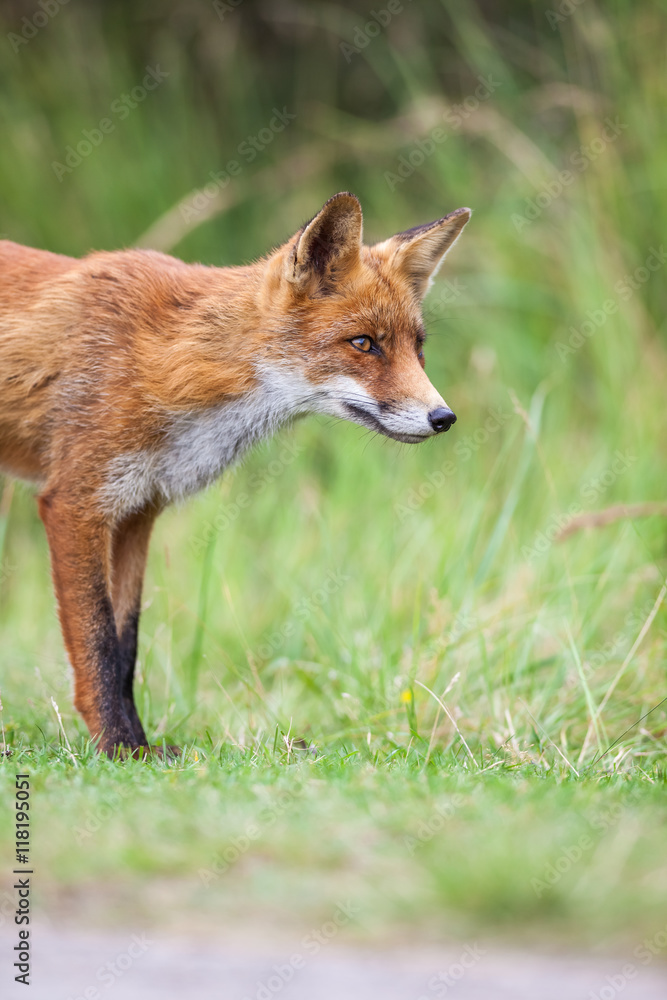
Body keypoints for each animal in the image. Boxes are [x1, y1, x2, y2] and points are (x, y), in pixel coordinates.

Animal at [0, 192, 470, 756]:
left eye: (417, 348)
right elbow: (97, 642)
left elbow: (125, 646)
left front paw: (141, 747)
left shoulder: (136, 512)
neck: (168, 358)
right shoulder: (76, 502)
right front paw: (116, 746)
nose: (443, 418)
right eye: (363, 344)